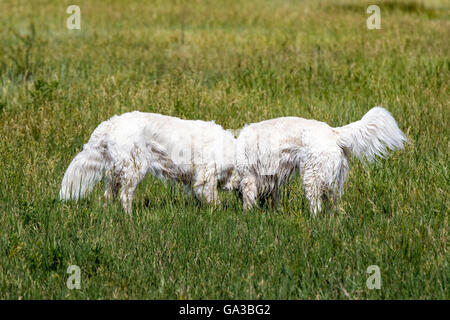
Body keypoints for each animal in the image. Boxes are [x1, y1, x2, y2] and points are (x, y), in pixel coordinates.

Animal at [62, 111, 243, 214]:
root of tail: (111, 123)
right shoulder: (206, 176)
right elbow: (213, 200)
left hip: (115, 173)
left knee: (108, 197)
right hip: (134, 168)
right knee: (125, 197)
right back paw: (130, 219)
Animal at [236, 106, 408, 214]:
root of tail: (334, 131)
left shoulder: (248, 179)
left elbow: (248, 202)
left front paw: (247, 216)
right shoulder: (272, 181)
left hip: (311, 177)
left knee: (316, 207)